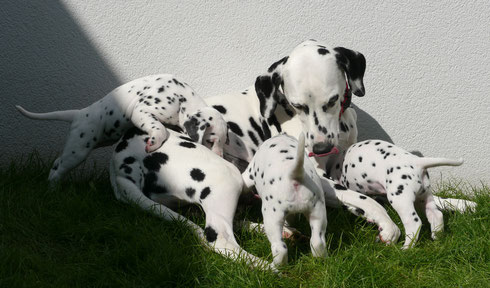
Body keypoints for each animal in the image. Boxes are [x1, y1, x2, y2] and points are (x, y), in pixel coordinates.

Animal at [16, 74, 228, 182]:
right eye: (210, 141)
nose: (221, 157)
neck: (183, 98)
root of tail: (78, 114)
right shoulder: (142, 111)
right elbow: (160, 129)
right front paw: (154, 141)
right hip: (78, 150)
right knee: (59, 170)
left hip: (76, 149)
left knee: (57, 164)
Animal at [243, 134, 328, 266]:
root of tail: (295, 175)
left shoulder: (249, 173)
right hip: (318, 213)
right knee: (317, 242)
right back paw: (321, 260)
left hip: (272, 219)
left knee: (280, 248)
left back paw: (276, 266)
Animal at [338, 140, 466, 248]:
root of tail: (417, 162)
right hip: (424, 197)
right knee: (436, 214)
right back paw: (437, 237)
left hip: (400, 199)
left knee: (414, 223)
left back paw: (406, 248)